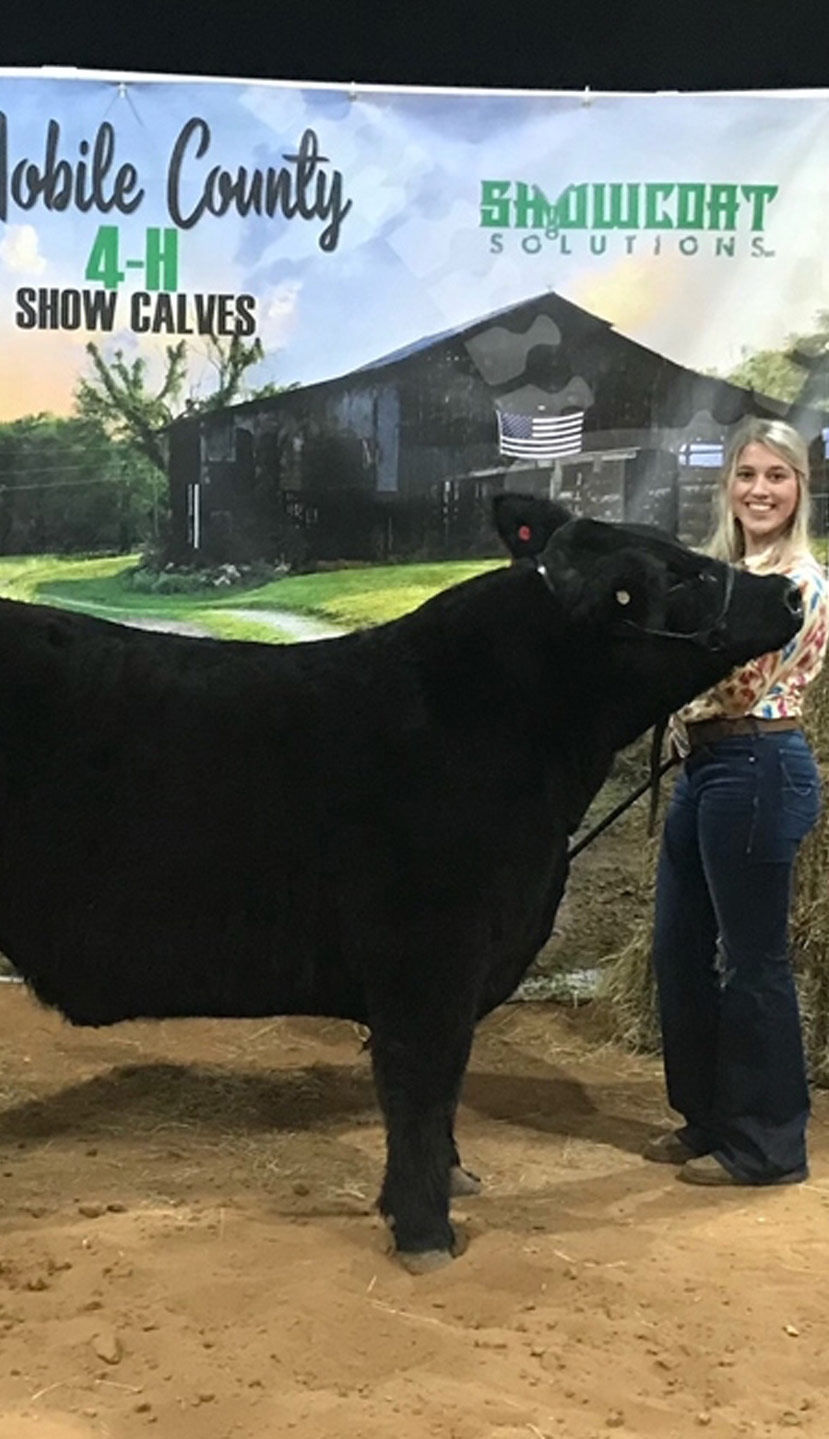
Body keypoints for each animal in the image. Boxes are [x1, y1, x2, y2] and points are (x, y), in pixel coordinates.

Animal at [0, 496, 803, 1270]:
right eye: (682, 576)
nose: (791, 593)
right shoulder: (427, 955)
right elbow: (421, 1086)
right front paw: (425, 1229)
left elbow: (441, 1092)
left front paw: (454, 1177)